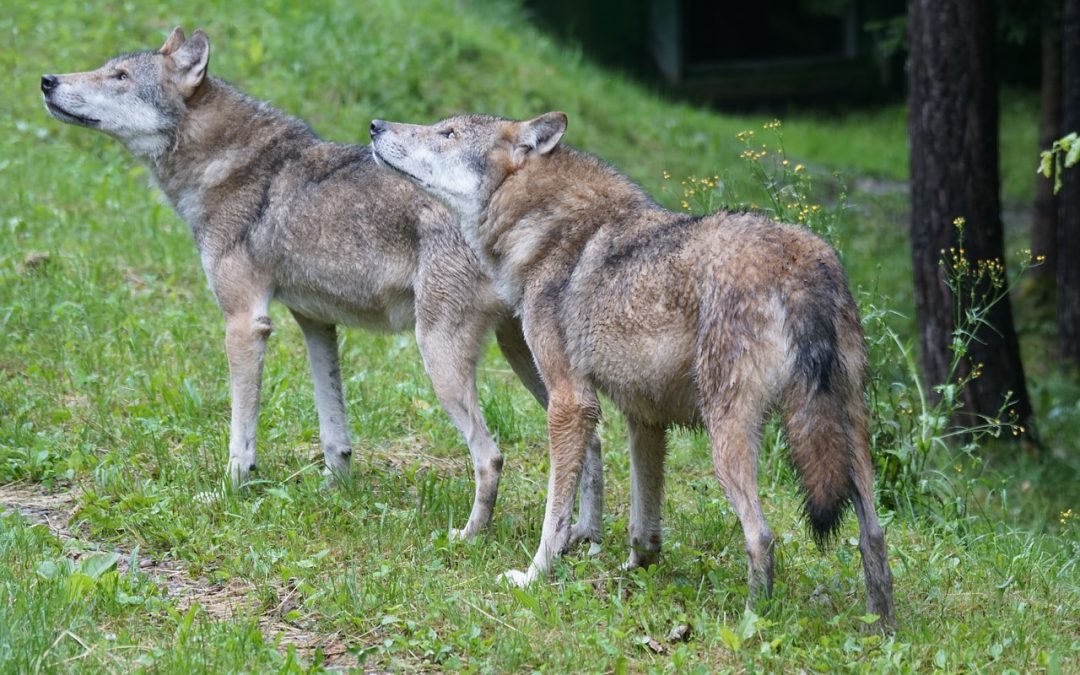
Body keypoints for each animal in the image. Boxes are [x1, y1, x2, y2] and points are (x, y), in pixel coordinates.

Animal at [38, 30, 604, 542]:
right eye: (106, 69)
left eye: (119, 77)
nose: (47, 80)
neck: (229, 167)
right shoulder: (315, 322)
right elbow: (335, 430)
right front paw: (333, 491)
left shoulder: (245, 322)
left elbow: (241, 435)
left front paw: (226, 492)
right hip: (527, 360)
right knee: (593, 441)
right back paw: (584, 539)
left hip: (441, 356)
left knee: (491, 455)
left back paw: (470, 537)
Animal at [371, 111, 894, 626]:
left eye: (447, 133)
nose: (376, 126)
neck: (550, 230)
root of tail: (799, 263)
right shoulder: (644, 418)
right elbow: (645, 524)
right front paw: (630, 570)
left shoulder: (571, 403)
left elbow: (554, 516)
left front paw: (534, 576)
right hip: (851, 437)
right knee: (873, 536)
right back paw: (881, 630)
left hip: (728, 442)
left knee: (762, 536)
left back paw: (750, 624)